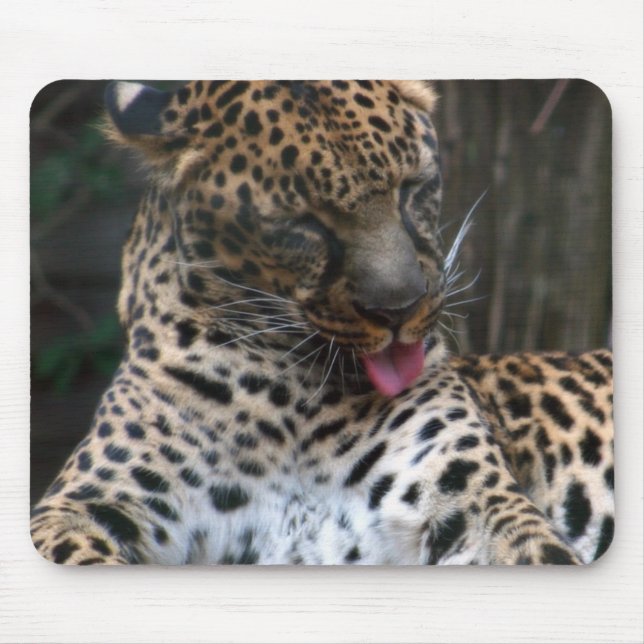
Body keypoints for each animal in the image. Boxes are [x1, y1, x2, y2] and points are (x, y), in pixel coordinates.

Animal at [30, 80, 614, 565]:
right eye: (302, 225)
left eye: (411, 188)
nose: (402, 309)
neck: (291, 407)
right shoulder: (86, 504)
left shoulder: (470, 500)